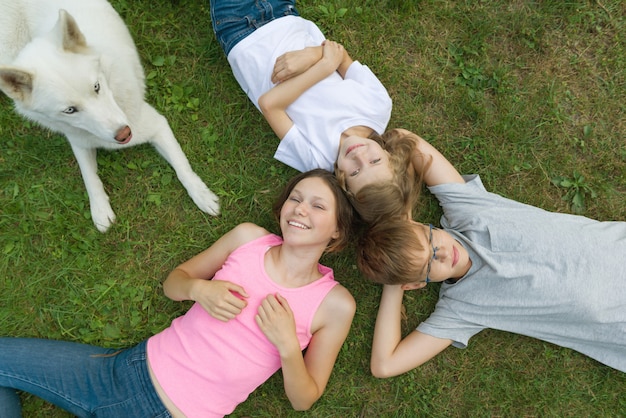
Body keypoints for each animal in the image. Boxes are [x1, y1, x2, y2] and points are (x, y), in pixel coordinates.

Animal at [0, 0, 219, 232]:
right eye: (70, 110)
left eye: (96, 87)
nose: (124, 134)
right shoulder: (80, 143)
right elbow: (90, 178)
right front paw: (100, 210)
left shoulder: (158, 125)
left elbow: (182, 167)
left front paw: (202, 195)